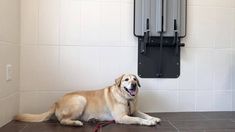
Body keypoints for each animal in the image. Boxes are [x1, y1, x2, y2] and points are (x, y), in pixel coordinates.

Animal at [15, 73, 161, 126]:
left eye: (135, 79)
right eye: (126, 80)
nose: (134, 84)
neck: (127, 99)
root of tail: (56, 102)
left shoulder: (134, 110)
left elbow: (144, 114)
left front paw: (153, 118)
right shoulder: (121, 117)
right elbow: (137, 119)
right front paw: (148, 122)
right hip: (80, 100)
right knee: (62, 121)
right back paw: (76, 123)